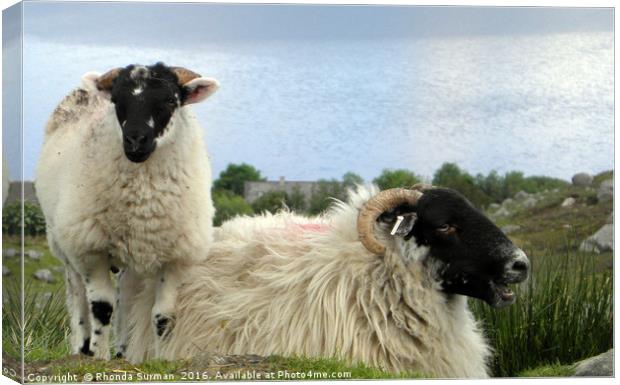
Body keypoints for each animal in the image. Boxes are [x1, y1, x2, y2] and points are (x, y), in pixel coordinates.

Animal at [35, 61, 220, 358]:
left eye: (171, 100)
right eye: (116, 101)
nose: (135, 141)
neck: (143, 201)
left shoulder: (175, 257)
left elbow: (163, 316)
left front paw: (160, 358)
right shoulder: (91, 250)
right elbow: (101, 308)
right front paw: (99, 356)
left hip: (133, 257)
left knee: (126, 298)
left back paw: (123, 352)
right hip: (65, 244)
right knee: (78, 297)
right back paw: (81, 348)